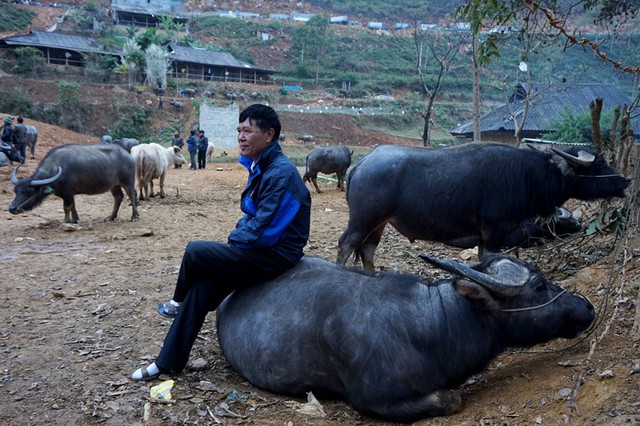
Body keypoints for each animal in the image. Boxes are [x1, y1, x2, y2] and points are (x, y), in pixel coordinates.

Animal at [8, 143, 139, 223]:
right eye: (15, 191)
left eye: (28, 191)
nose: (12, 208)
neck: (56, 168)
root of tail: (128, 155)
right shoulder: (70, 194)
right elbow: (73, 206)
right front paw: (75, 220)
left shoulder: (68, 192)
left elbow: (66, 207)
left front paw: (66, 222)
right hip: (114, 185)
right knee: (118, 197)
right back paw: (111, 217)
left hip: (128, 181)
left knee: (132, 194)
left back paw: (134, 216)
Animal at [338, 143, 628, 270]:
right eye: (600, 164)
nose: (624, 181)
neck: (527, 175)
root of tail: (361, 164)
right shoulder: (494, 232)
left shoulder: (483, 237)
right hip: (363, 220)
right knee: (346, 245)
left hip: (378, 224)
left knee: (367, 250)